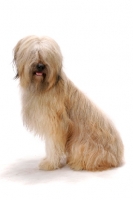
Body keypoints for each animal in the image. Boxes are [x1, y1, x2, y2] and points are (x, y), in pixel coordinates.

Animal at [13, 35, 123, 170]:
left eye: (47, 55)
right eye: (33, 52)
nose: (40, 66)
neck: (43, 87)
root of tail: (117, 157)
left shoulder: (55, 124)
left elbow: (53, 144)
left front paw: (50, 163)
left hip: (81, 145)